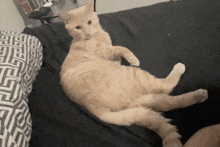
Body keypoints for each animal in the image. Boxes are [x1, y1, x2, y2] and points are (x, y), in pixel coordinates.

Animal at [58, 0, 208, 146]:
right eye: (78, 27)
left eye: (89, 22)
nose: (87, 32)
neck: (94, 35)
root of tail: (99, 112)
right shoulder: (106, 50)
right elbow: (121, 48)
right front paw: (132, 59)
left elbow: (117, 56)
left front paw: (118, 61)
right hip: (141, 79)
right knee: (166, 87)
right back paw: (186, 77)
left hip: (140, 102)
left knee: (168, 103)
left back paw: (199, 96)